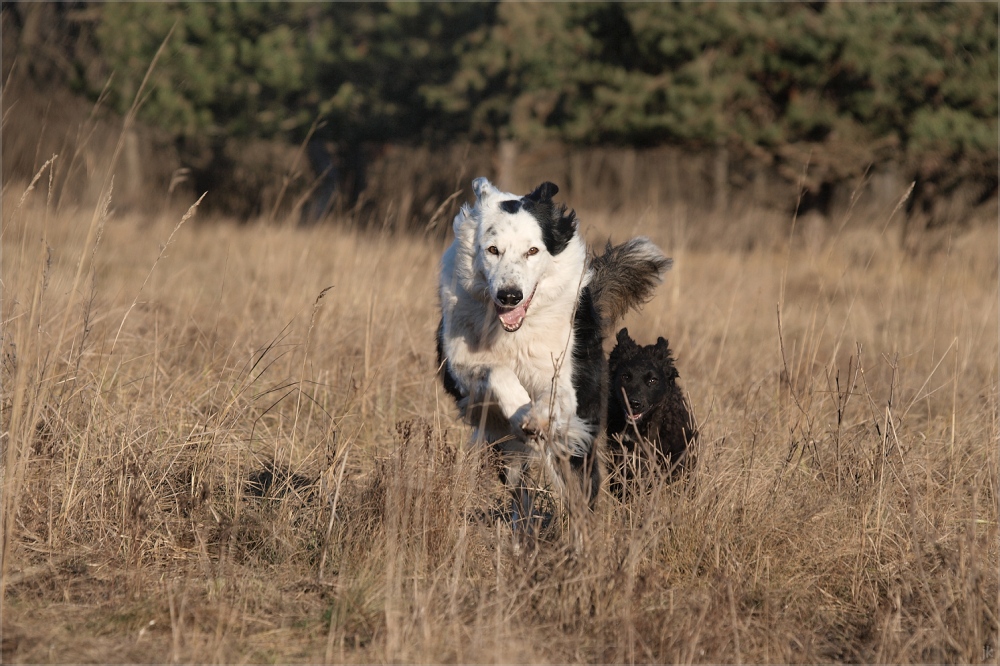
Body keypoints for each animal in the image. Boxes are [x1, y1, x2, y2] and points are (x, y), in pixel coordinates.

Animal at [434, 176, 668, 528]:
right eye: (492, 250)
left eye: (533, 250)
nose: (509, 296)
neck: (514, 332)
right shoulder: (461, 368)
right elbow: (496, 371)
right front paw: (521, 409)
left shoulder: (565, 378)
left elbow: (554, 397)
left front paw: (535, 416)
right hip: (505, 449)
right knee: (520, 489)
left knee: (578, 487)